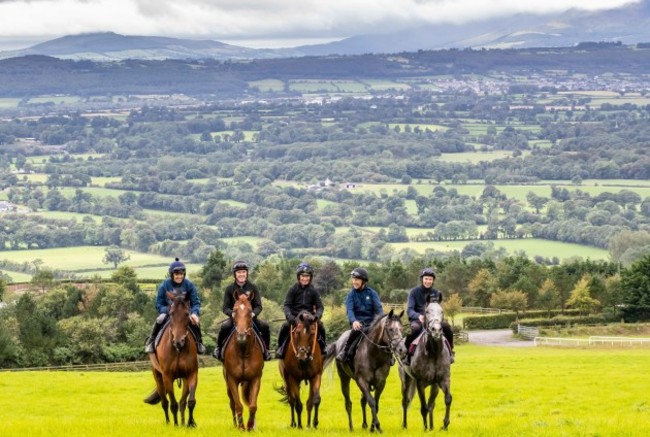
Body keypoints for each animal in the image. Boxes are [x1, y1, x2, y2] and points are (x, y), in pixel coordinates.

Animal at [147, 292, 197, 424]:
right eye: (171, 314)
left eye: (187, 314)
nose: (178, 341)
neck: (178, 350)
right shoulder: (167, 377)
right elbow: (173, 404)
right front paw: (175, 425)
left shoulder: (192, 374)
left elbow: (190, 402)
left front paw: (190, 423)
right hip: (158, 377)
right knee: (165, 402)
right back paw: (168, 422)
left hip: (184, 379)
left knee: (182, 402)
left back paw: (183, 423)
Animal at [223, 290, 264, 430]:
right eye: (234, 310)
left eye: (250, 311)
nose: (241, 335)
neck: (243, 351)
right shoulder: (232, 380)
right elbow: (238, 405)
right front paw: (241, 427)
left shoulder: (255, 379)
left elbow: (253, 405)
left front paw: (250, 426)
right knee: (232, 404)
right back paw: (236, 424)